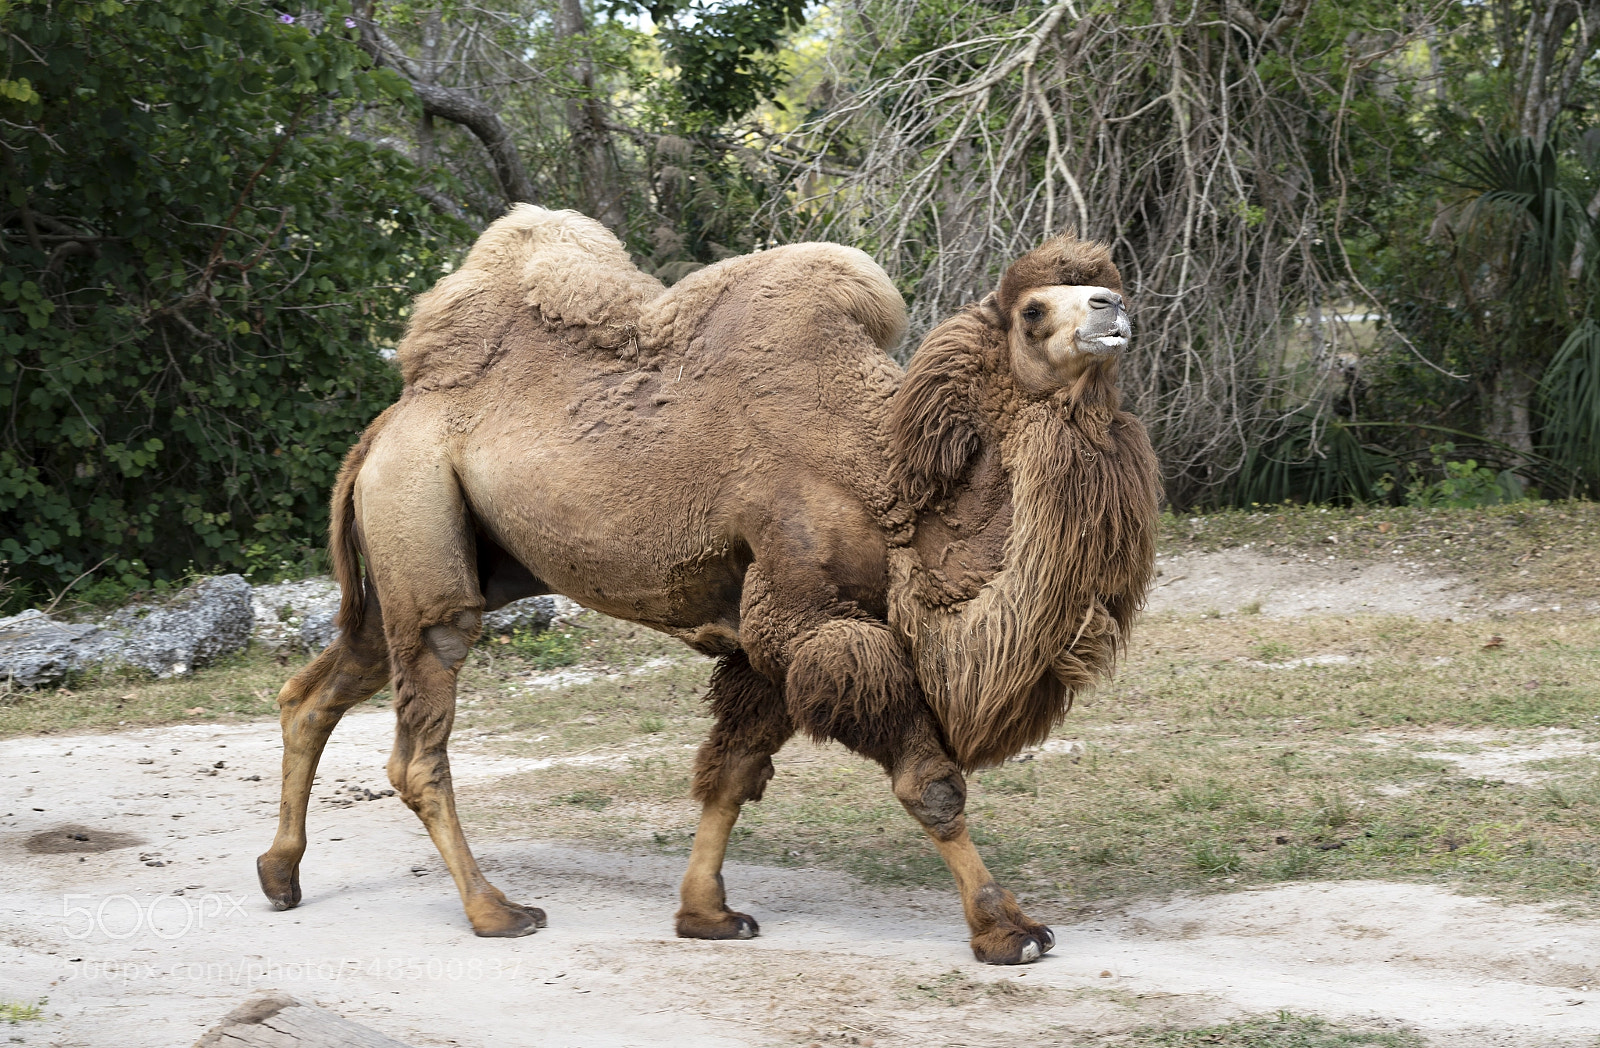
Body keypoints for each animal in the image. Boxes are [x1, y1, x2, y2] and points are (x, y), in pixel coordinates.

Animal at [256, 206, 1159, 966]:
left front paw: (706, 914)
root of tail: (390, 420)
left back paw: (281, 876)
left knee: (318, 687)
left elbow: (730, 772)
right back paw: (497, 911)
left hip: (438, 557)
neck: (891, 485)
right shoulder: (810, 614)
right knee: (420, 736)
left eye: (1099, 283)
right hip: (421, 522)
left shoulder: (765, 639)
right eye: (1034, 311)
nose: (1113, 306)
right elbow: (930, 784)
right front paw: (1006, 930)